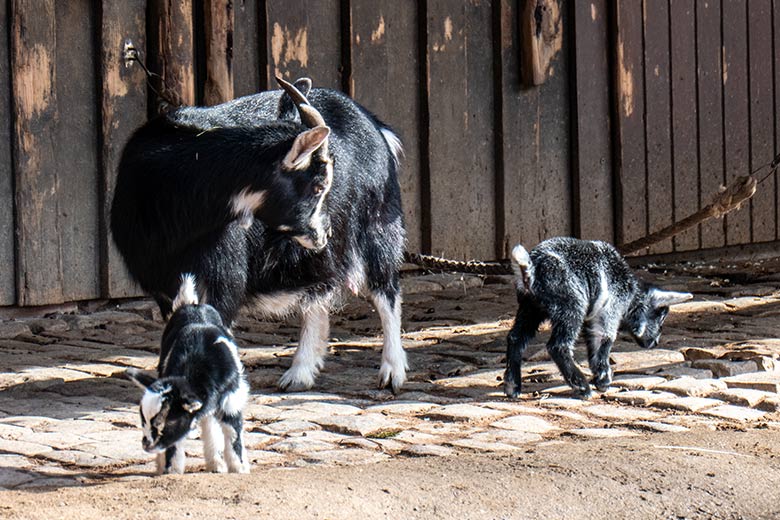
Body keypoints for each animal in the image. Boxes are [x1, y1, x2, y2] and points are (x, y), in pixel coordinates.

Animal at [114, 78, 408, 390]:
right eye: (318, 186)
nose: (325, 234)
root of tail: (373, 122)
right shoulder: (159, 279)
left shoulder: (224, 275)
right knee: (319, 293)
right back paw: (300, 373)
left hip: (378, 224)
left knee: (386, 290)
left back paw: (392, 371)